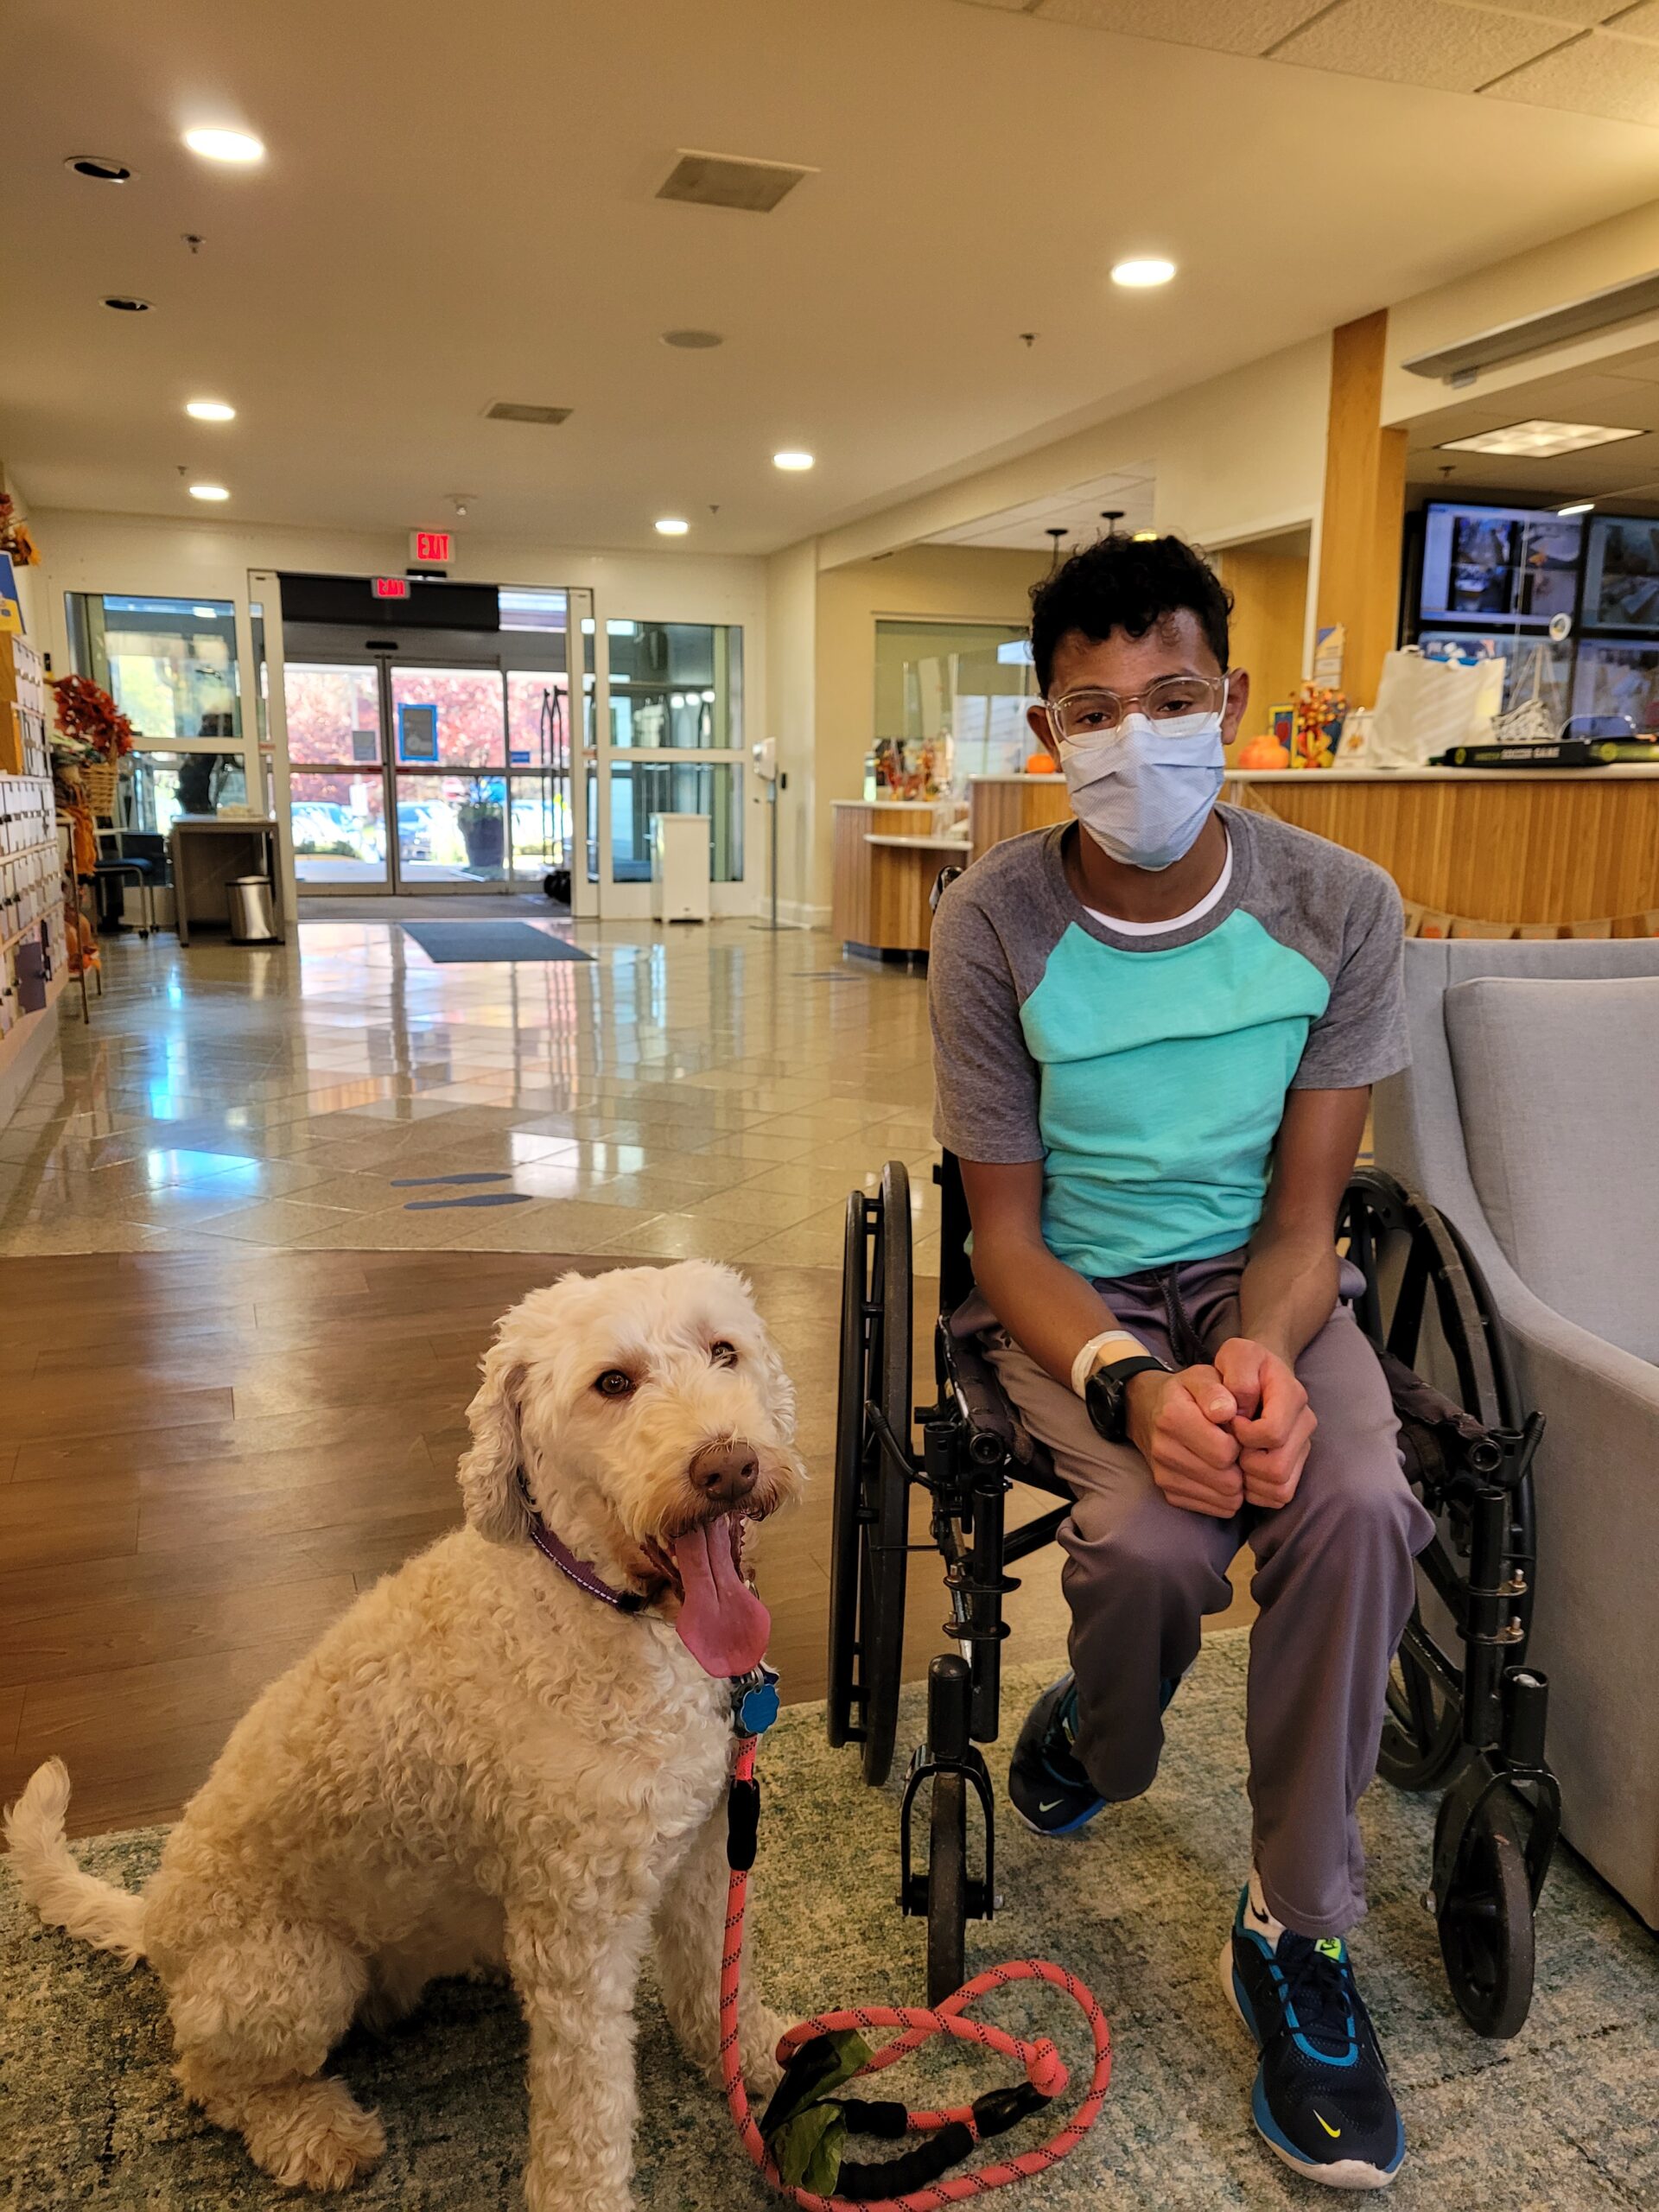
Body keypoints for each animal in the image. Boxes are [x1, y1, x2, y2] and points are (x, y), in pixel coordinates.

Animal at [4, 1265, 814, 2212]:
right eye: (613, 1382)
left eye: (725, 1350)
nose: (728, 1465)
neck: (599, 1609)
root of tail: (155, 1921)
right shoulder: (579, 1934)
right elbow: (587, 2099)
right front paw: (584, 2192)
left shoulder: (702, 1850)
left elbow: (711, 1984)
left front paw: (758, 2058)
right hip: (290, 1975)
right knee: (208, 2076)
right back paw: (312, 2131)